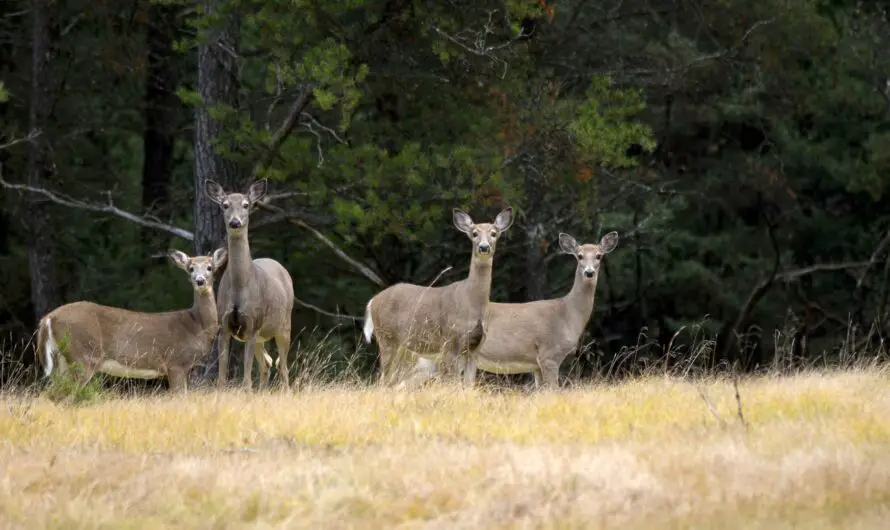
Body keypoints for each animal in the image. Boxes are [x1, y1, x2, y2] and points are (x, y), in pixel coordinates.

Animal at [35, 248, 231, 392]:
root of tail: (48, 318)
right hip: (83, 356)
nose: (200, 281)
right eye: (191, 268)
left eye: (209, 267)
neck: (196, 325)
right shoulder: (175, 362)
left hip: (61, 359)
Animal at [205, 177, 294, 388]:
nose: (235, 222)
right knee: (267, 363)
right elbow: (221, 377)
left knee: (283, 367)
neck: (240, 288)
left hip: (284, 325)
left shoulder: (252, 324)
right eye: (225, 205)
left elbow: (246, 380)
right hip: (261, 336)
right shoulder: (224, 326)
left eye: (246, 205)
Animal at [360, 204, 512, 386]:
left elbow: (468, 384)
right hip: (387, 337)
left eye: (494, 233)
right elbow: (452, 381)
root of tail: (372, 301)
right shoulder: (450, 340)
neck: (472, 302)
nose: (483, 247)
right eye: (474, 233)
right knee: (384, 379)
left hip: (404, 347)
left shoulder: (476, 346)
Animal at [398, 231, 612, 388]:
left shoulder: (536, 365)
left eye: (599, 255)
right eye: (580, 256)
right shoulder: (549, 354)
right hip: (424, 358)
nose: (589, 272)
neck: (568, 314)